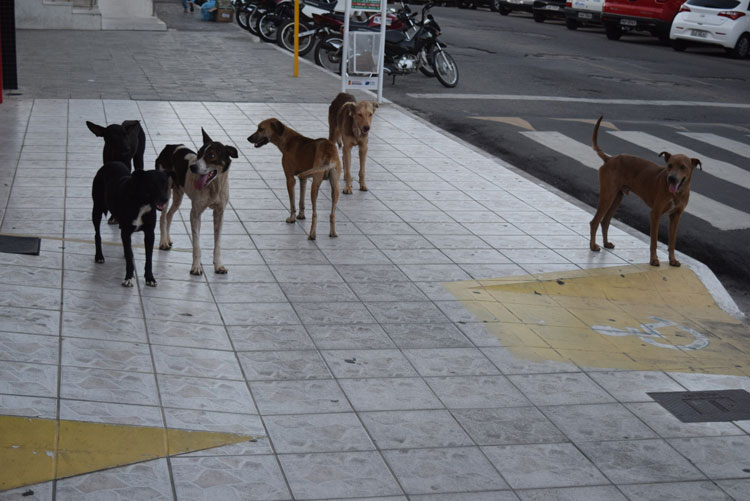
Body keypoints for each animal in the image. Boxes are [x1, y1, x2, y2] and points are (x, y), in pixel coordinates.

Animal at [592, 115, 704, 268]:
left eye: (683, 167)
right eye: (669, 165)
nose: (671, 178)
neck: (677, 193)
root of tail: (609, 159)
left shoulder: (676, 216)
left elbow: (672, 242)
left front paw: (672, 260)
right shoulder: (655, 214)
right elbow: (654, 241)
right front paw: (654, 260)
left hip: (617, 197)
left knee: (605, 221)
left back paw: (605, 243)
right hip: (608, 196)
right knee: (595, 221)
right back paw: (593, 246)